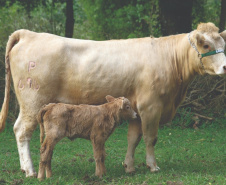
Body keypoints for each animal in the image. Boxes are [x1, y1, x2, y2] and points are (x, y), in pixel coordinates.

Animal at [0, 22, 226, 177]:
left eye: (223, 43)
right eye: (205, 45)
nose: (225, 67)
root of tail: (29, 34)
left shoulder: (136, 109)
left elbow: (133, 138)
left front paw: (129, 166)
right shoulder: (151, 106)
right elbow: (150, 138)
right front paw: (152, 166)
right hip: (32, 101)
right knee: (21, 131)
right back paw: (29, 170)